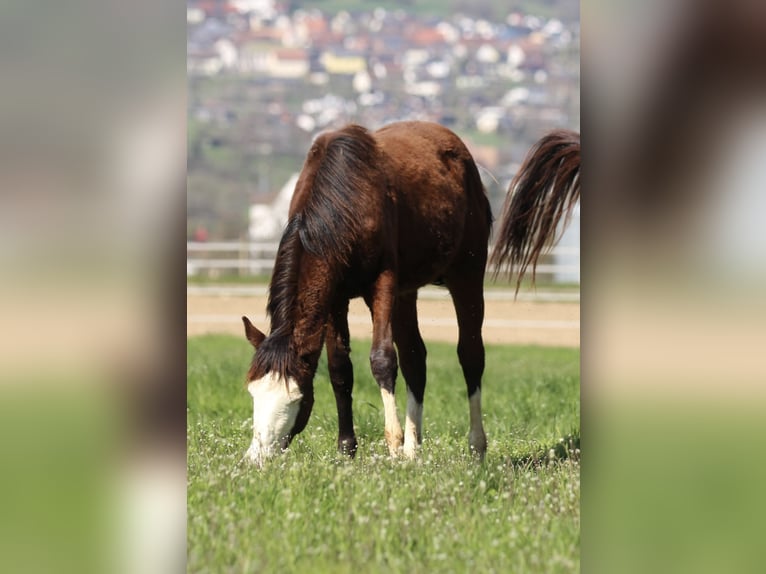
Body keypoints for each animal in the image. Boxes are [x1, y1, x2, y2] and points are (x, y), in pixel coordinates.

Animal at [241, 121, 580, 466]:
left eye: (295, 398)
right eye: (253, 391)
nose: (257, 457)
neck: (344, 198)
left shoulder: (383, 284)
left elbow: (382, 359)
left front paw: (392, 444)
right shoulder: (335, 296)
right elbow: (340, 369)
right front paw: (349, 449)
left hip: (466, 275)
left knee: (470, 355)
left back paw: (475, 447)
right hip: (406, 294)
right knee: (415, 358)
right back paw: (413, 449)